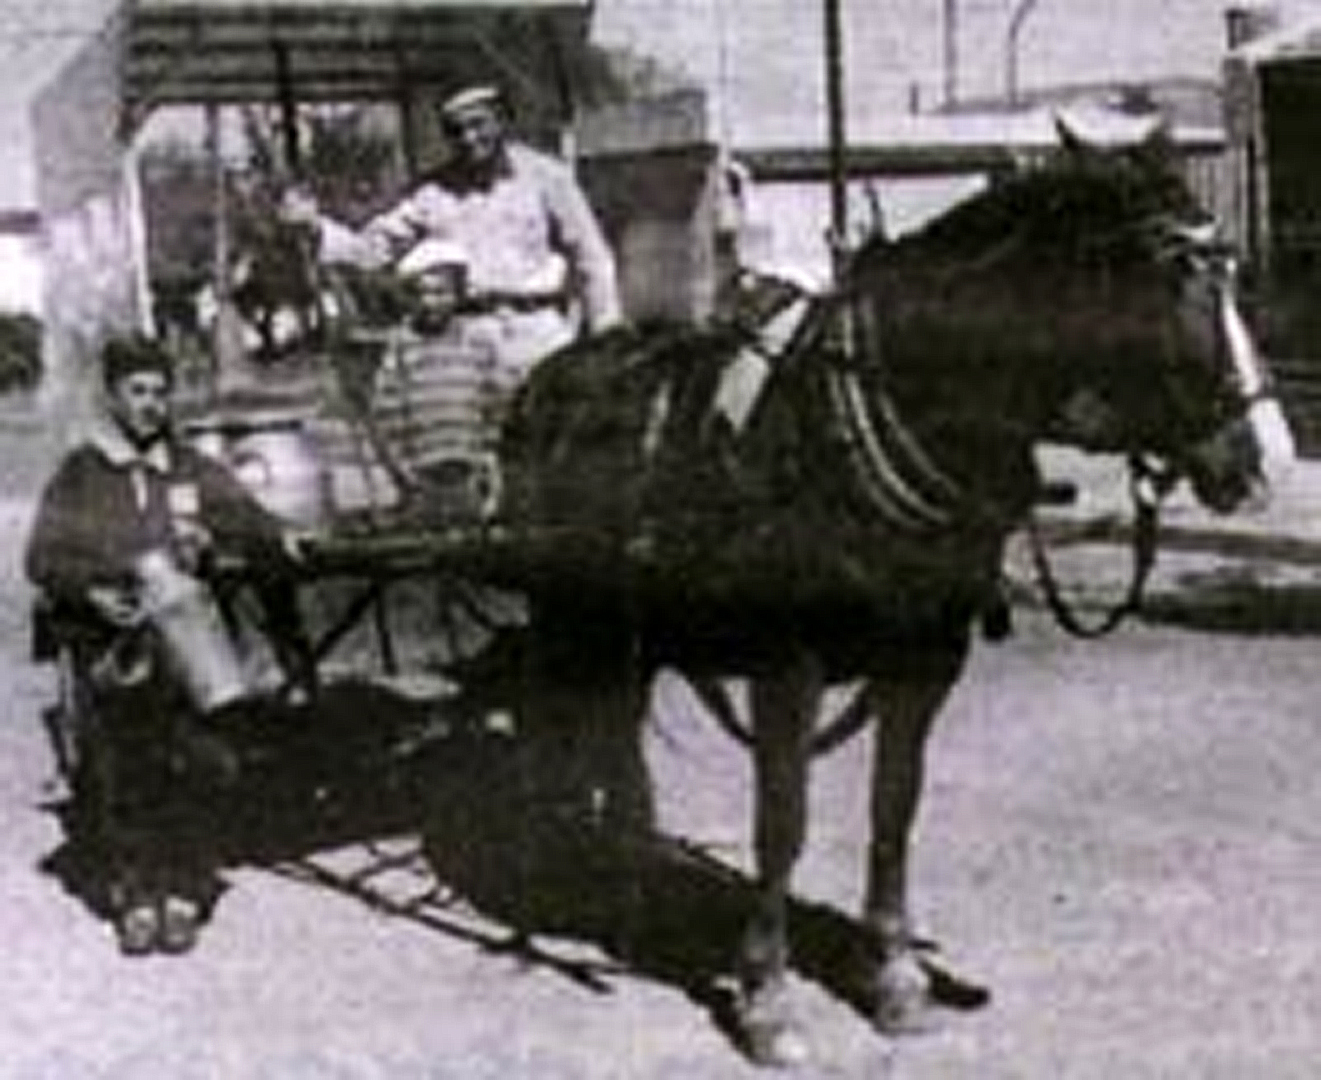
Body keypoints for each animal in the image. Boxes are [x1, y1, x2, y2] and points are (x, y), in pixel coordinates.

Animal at [475, 122, 1289, 1066]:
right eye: (1172, 281)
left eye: (1230, 272)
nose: (1258, 464)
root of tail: (550, 376)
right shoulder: (785, 666)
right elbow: (782, 823)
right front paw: (766, 997)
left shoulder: (923, 663)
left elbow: (894, 808)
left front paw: (892, 975)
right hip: (574, 615)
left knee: (618, 740)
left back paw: (638, 879)